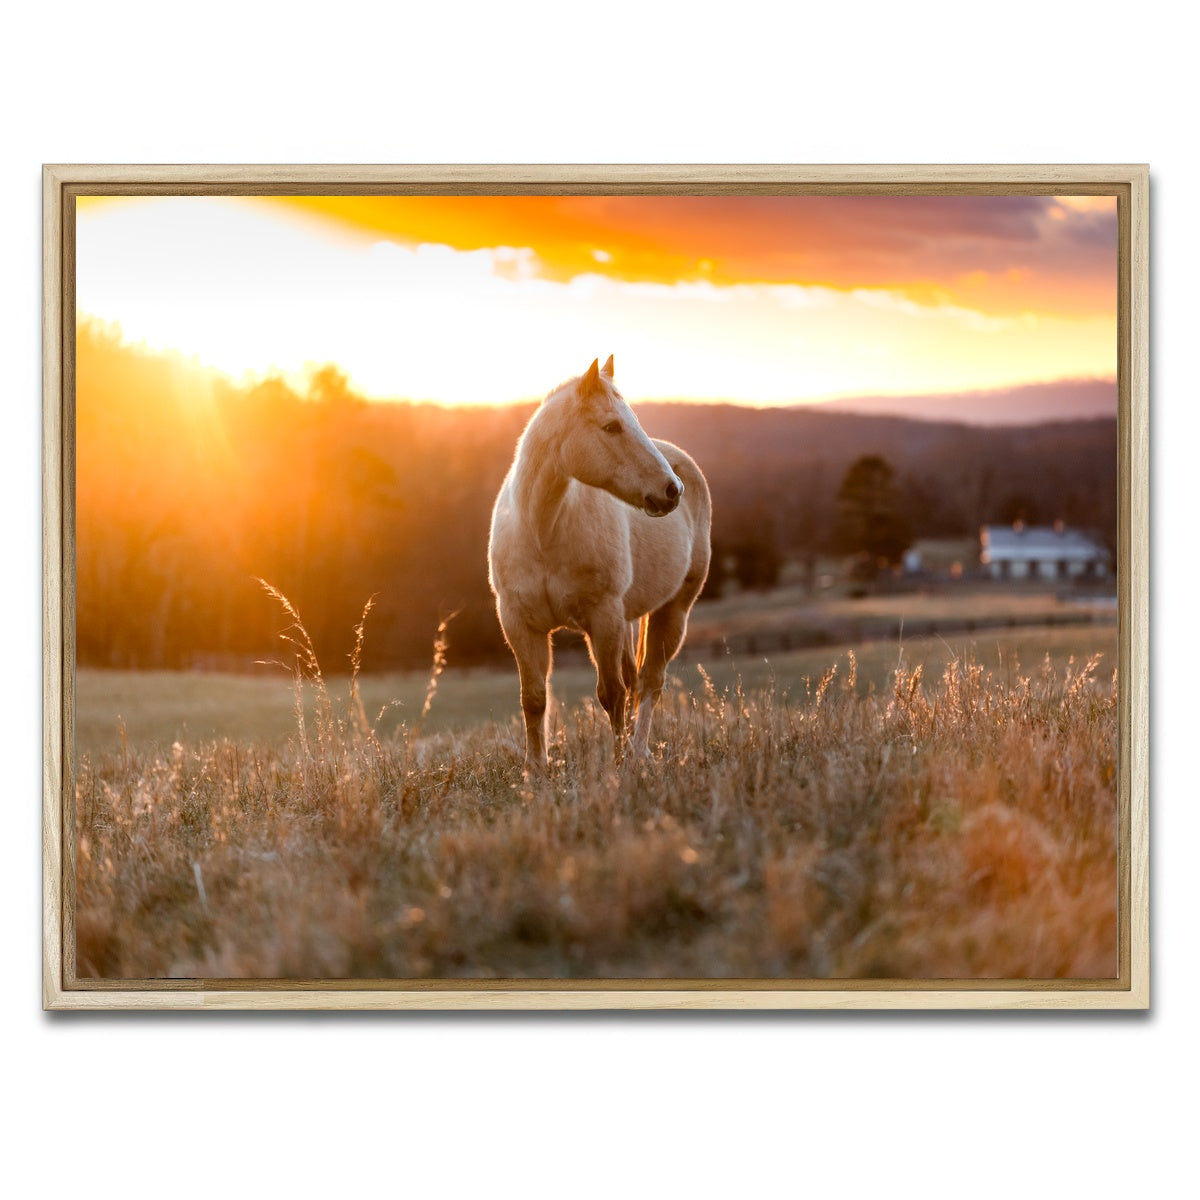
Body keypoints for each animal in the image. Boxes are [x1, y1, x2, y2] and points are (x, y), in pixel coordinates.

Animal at [488, 355, 712, 775]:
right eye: (612, 426)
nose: (672, 490)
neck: (543, 530)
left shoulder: (602, 618)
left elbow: (612, 694)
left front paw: (618, 764)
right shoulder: (519, 623)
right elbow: (534, 697)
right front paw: (534, 770)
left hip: (672, 611)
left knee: (650, 681)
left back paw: (639, 752)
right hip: (628, 618)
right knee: (637, 678)